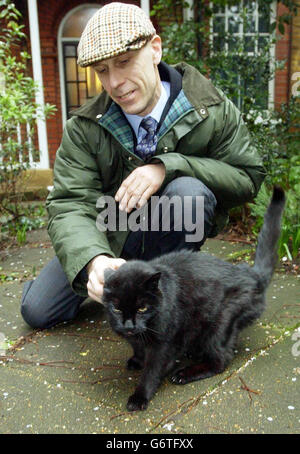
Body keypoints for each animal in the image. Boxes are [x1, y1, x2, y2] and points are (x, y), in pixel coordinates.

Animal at [102, 186, 284, 410]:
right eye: (117, 308)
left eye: (142, 308)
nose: (128, 325)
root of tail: (251, 273)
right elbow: (138, 348)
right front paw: (137, 359)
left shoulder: (163, 344)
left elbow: (152, 371)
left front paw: (139, 397)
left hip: (220, 324)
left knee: (221, 360)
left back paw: (185, 373)